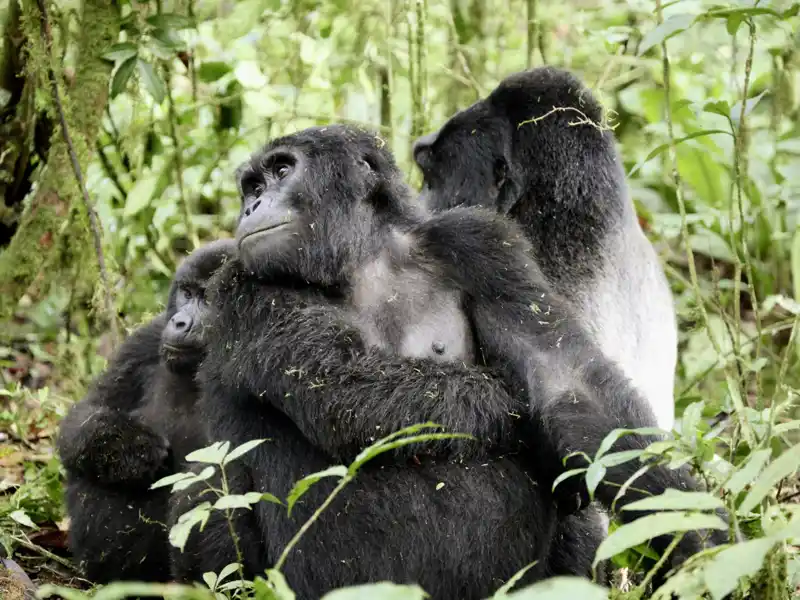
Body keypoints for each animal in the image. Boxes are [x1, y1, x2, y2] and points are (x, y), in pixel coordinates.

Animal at [57, 238, 236, 580]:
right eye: (187, 293)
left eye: (208, 298)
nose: (179, 322)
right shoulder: (147, 338)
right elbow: (85, 416)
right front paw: (129, 446)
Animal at [170, 124, 724, 596]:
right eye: (250, 186)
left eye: (283, 170)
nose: (252, 206)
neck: (362, 258)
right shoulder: (244, 288)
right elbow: (350, 394)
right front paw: (508, 409)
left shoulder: (479, 244)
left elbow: (563, 380)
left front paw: (695, 536)